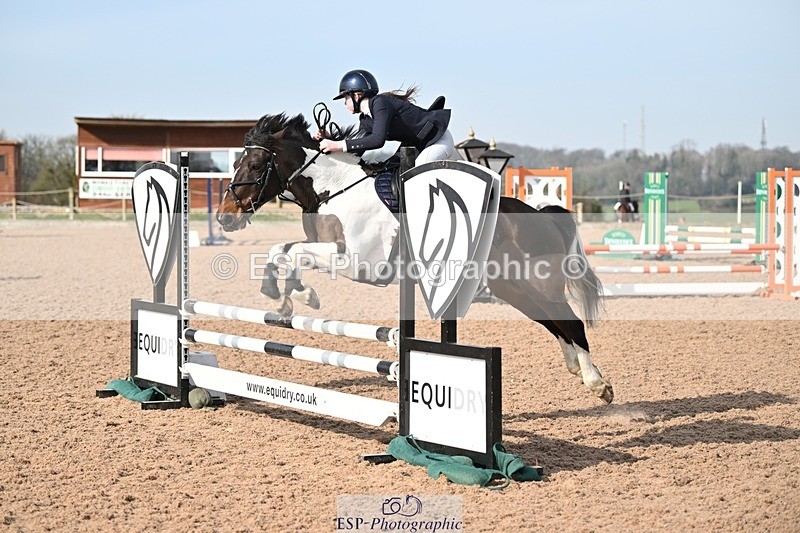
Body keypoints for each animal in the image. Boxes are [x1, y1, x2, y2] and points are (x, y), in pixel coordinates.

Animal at [215, 113, 614, 403]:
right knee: (552, 320)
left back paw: (597, 382)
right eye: (236, 164)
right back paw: (577, 369)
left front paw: (301, 295)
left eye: (255, 166)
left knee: (570, 321)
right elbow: (281, 251)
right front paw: (285, 296)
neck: (333, 190)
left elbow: (293, 252)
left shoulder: (356, 261)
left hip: (537, 281)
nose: (224, 217)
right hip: (510, 287)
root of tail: (541, 214)